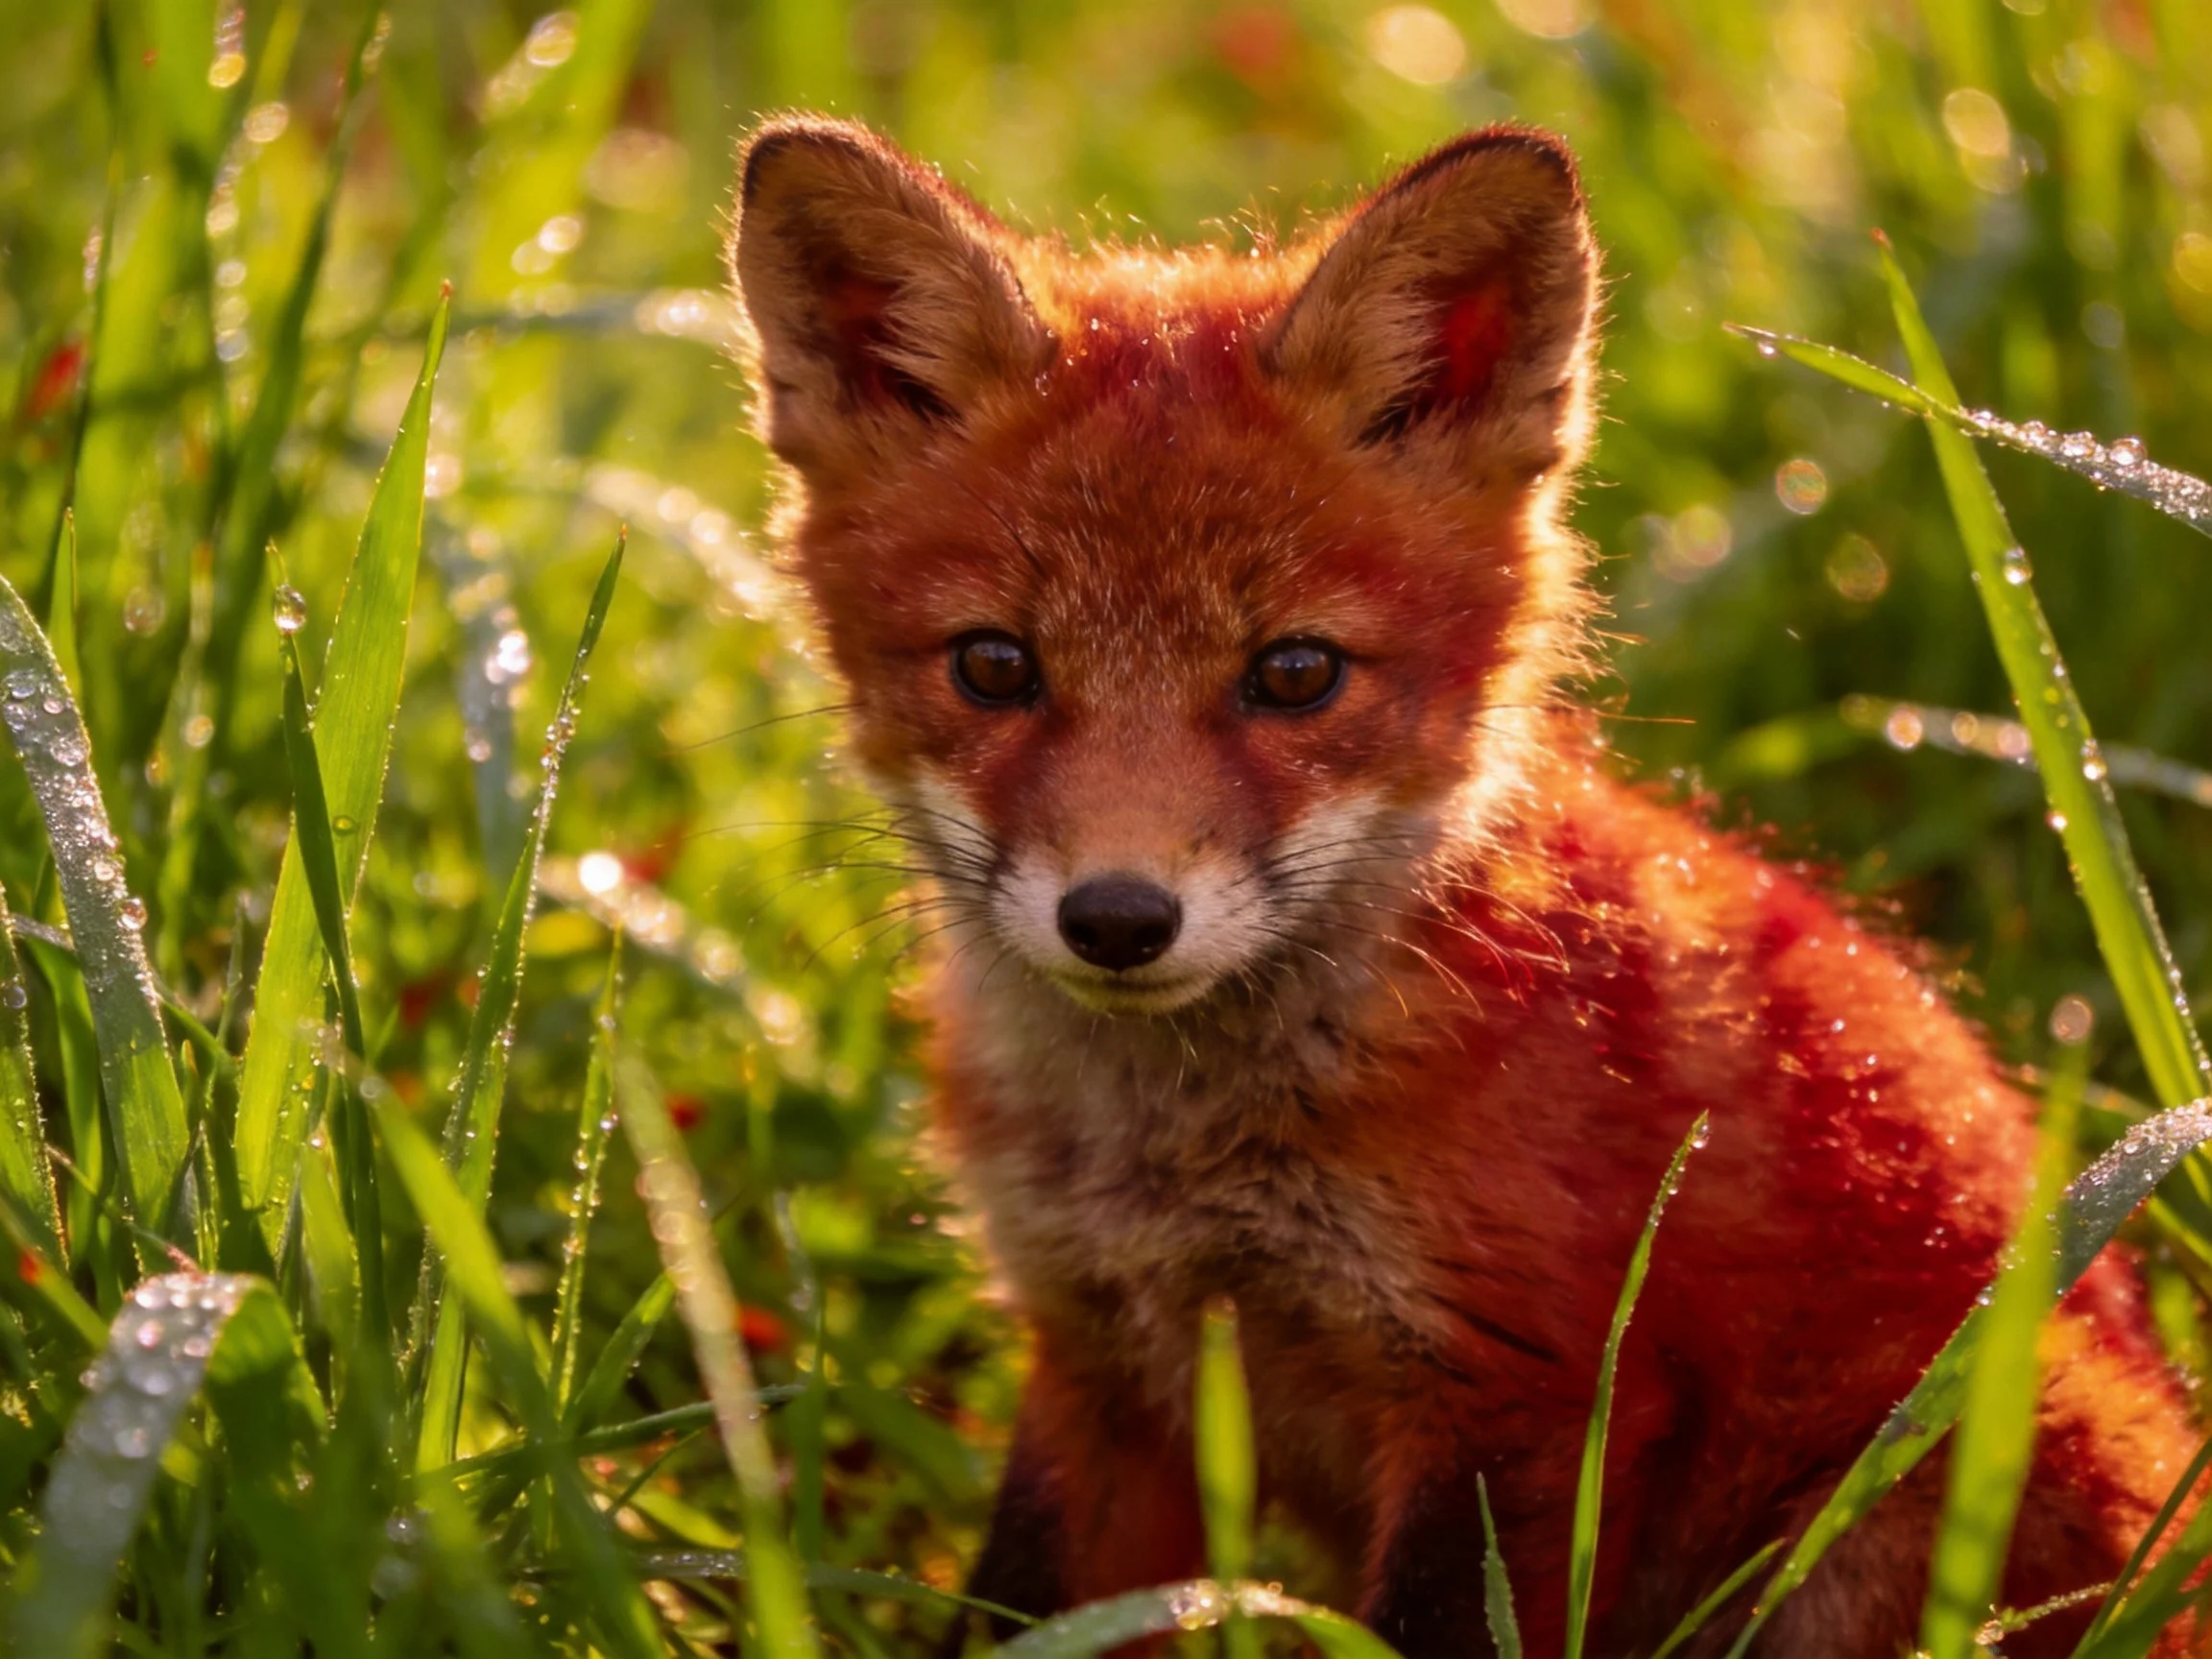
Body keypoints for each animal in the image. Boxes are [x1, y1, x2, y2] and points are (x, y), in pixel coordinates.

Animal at [727, 116, 2203, 1657]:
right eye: (994, 665)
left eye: (1295, 673)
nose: (1119, 920)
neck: (1186, 1169)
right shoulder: (1101, 1369)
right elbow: (1027, 1611)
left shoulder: (1522, 1396)